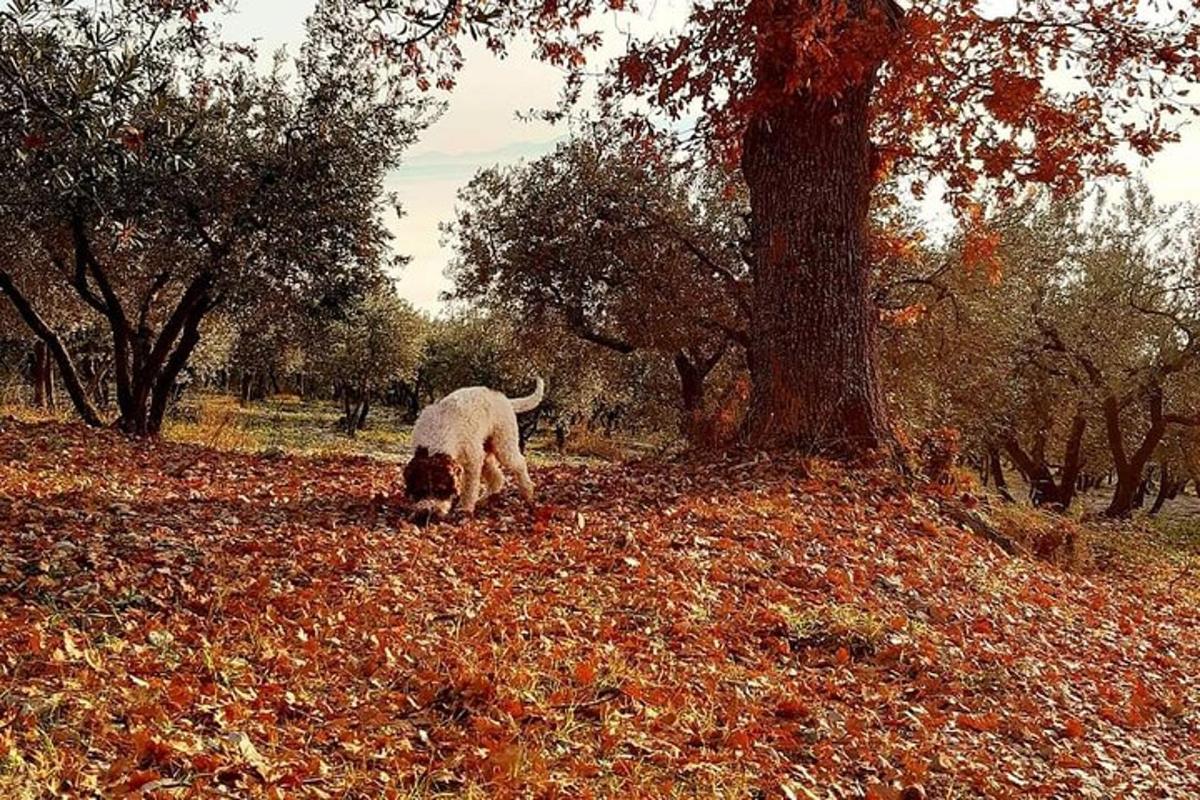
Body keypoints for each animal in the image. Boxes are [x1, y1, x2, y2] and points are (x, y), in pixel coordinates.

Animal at [408, 379, 549, 522]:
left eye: (441, 490)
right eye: (420, 490)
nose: (429, 515)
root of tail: (503, 399)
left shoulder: (472, 461)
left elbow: (469, 489)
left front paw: (465, 510)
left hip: (503, 445)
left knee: (520, 464)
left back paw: (527, 492)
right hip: (486, 452)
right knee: (497, 477)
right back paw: (486, 499)